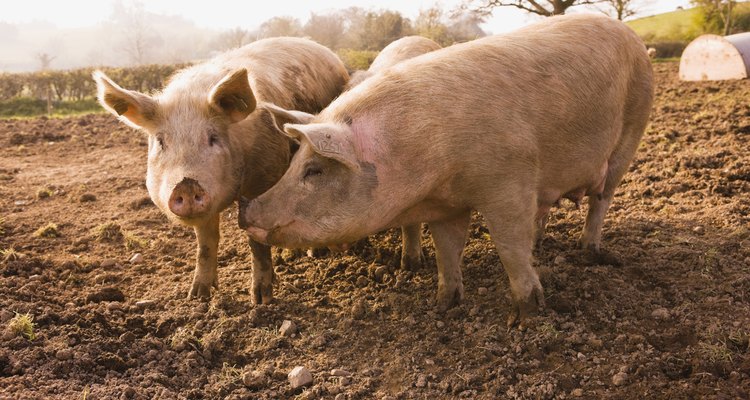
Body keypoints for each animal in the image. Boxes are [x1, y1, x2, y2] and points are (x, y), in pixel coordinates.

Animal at [94, 38, 350, 306]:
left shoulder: (263, 179)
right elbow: (206, 244)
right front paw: (197, 297)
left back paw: (314, 253)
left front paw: (261, 300)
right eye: (161, 141)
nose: (186, 184)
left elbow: (256, 242)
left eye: (213, 138)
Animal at [238, 14, 656, 328]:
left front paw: (526, 316)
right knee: (547, 212)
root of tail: (630, 34)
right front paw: (444, 304)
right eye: (294, 162)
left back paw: (589, 251)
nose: (246, 210)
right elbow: (447, 250)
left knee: (601, 199)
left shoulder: (509, 181)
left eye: (314, 170)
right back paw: (542, 242)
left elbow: (509, 247)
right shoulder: (446, 205)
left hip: (632, 129)